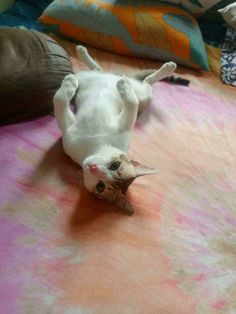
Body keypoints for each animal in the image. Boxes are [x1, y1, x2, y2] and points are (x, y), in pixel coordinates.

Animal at [53, 45, 177, 215]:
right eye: (115, 164)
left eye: (101, 186)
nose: (93, 168)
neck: (96, 144)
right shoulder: (72, 133)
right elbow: (131, 102)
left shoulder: (69, 128)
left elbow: (59, 101)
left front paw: (68, 84)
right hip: (95, 81)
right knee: (115, 74)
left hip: (142, 96)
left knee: (145, 85)